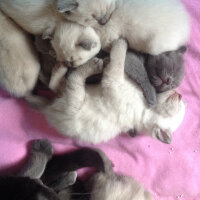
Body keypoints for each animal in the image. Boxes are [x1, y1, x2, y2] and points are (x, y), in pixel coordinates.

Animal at [25, 39, 186, 145]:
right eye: (181, 102)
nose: (180, 94)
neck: (144, 111)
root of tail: (48, 110)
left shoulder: (113, 81)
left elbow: (118, 60)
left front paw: (121, 43)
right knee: (56, 84)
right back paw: (61, 67)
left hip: (74, 99)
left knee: (73, 79)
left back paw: (91, 66)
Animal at [57, 0, 190, 54]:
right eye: (92, 17)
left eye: (106, 10)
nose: (103, 21)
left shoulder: (109, 35)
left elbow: (105, 44)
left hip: (154, 46)